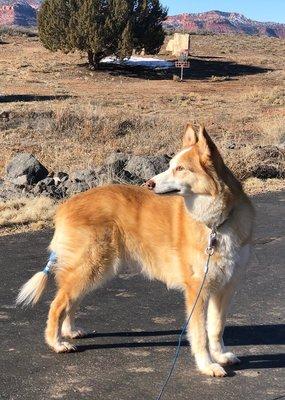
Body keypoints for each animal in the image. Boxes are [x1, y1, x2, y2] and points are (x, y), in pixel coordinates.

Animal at [17, 125, 253, 378]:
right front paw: (207, 365)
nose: (149, 184)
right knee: (58, 304)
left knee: (70, 301)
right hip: (90, 267)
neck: (216, 224)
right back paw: (56, 342)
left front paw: (220, 355)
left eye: (180, 168)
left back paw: (68, 331)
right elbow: (200, 334)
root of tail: (65, 206)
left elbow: (216, 328)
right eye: (171, 165)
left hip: (93, 270)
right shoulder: (197, 290)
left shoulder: (225, 287)